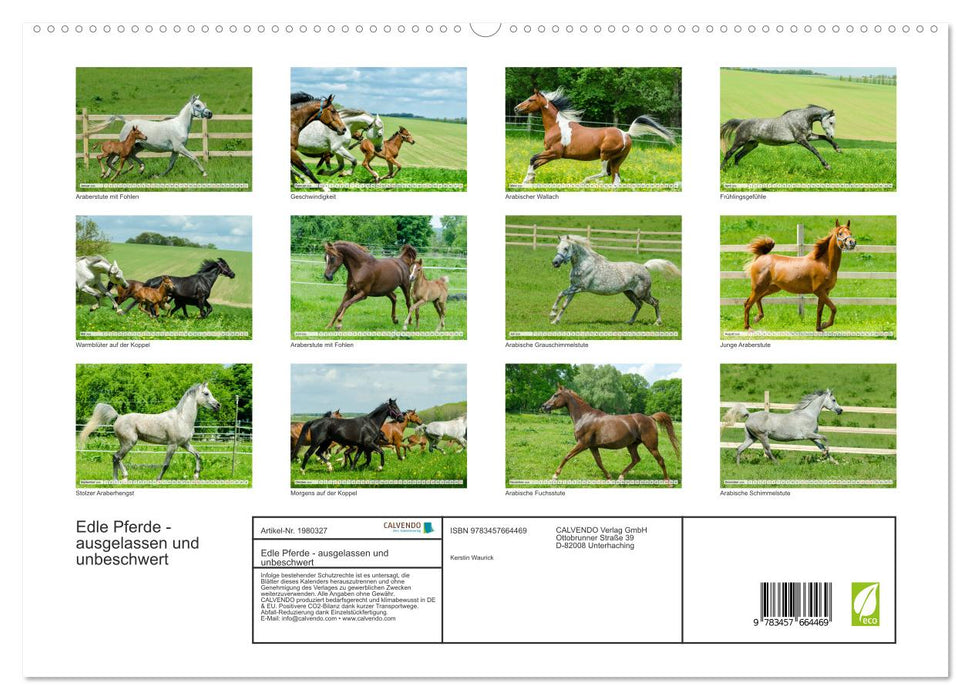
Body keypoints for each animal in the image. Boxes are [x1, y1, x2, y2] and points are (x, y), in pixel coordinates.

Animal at [78, 382, 221, 482]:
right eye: (206, 393)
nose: (218, 405)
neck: (182, 418)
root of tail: (118, 416)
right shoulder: (173, 445)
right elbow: (166, 464)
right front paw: (158, 479)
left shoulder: (184, 444)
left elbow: (198, 455)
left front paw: (196, 475)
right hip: (129, 443)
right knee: (116, 457)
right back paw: (118, 479)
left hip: (125, 443)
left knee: (116, 457)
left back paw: (123, 477)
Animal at [513, 88, 676, 185]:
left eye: (531, 99)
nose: (516, 108)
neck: (557, 126)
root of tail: (626, 134)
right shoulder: (551, 154)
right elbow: (535, 163)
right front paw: (528, 180)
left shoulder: (555, 153)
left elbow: (532, 158)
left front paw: (527, 179)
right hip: (617, 160)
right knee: (615, 178)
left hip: (605, 155)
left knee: (605, 173)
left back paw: (584, 182)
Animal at [541, 385, 679, 485]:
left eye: (556, 395)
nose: (544, 406)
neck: (584, 417)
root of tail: (650, 418)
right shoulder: (593, 447)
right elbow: (599, 462)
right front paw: (609, 477)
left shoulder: (582, 444)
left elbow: (567, 456)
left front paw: (555, 476)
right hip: (632, 445)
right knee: (636, 459)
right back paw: (621, 477)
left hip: (651, 445)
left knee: (660, 460)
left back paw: (668, 483)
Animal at [548, 236, 681, 325]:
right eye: (557, 247)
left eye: (566, 248)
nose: (555, 263)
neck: (584, 264)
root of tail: (644, 267)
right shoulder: (573, 288)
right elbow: (564, 305)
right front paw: (555, 321)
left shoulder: (579, 287)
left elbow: (560, 294)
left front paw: (552, 314)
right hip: (629, 293)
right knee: (639, 305)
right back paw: (630, 321)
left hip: (642, 294)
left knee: (655, 302)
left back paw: (657, 322)